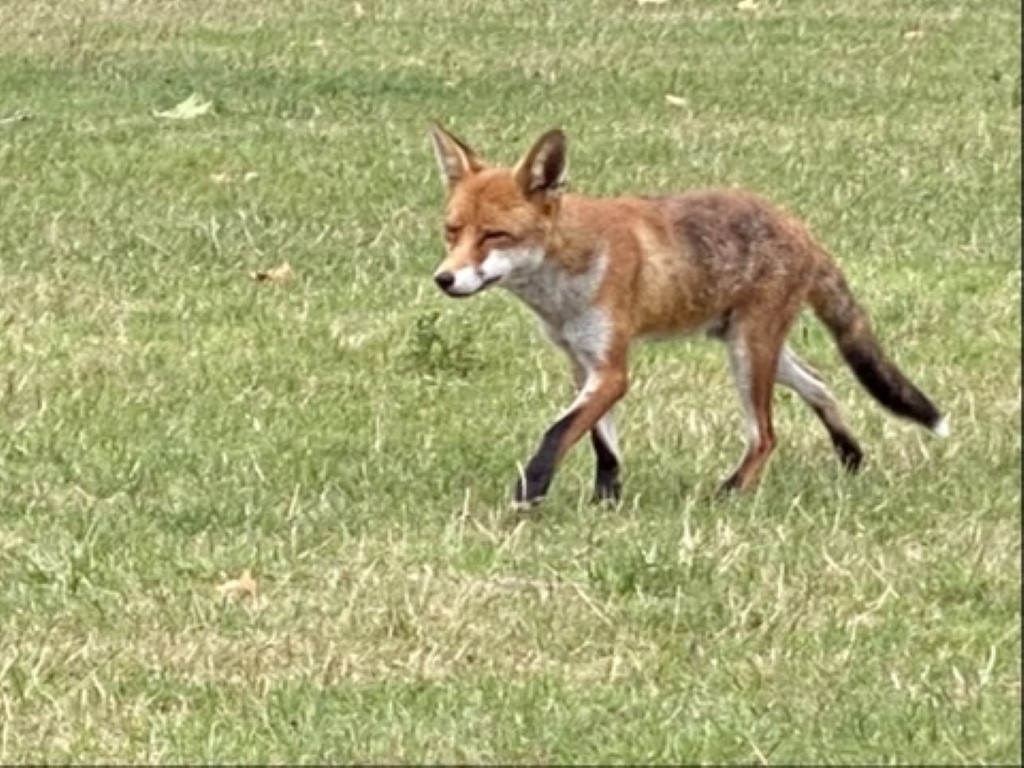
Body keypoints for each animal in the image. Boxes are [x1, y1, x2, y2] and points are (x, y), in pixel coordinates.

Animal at [427, 122, 948, 507]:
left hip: (749, 354)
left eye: (494, 235)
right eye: (452, 231)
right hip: (756, 350)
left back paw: (730, 493)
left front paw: (528, 494)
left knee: (766, 435)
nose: (444, 279)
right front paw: (606, 502)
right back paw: (850, 455)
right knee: (821, 384)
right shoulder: (583, 363)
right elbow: (602, 445)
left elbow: (557, 433)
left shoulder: (613, 369)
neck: (565, 281)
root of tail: (800, 227)